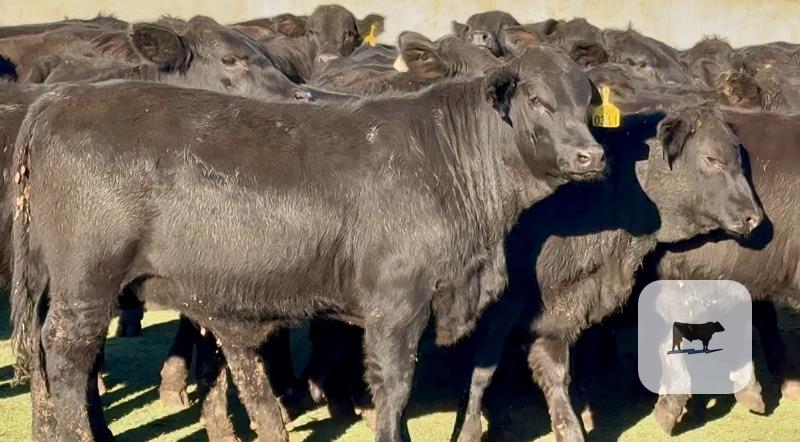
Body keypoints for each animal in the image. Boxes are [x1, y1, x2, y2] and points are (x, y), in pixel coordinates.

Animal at [10, 45, 606, 442]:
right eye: (537, 100)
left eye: (588, 104)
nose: (591, 155)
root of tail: (62, 99)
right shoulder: (396, 303)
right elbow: (394, 385)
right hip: (87, 283)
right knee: (67, 357)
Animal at [451, 103, 762, 442]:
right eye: (712, 158)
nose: (754, 216)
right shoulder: (501, 307)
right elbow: (483, 370)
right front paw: (469, 429)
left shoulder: (559, 310)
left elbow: (555, 369)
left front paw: (571, 427)